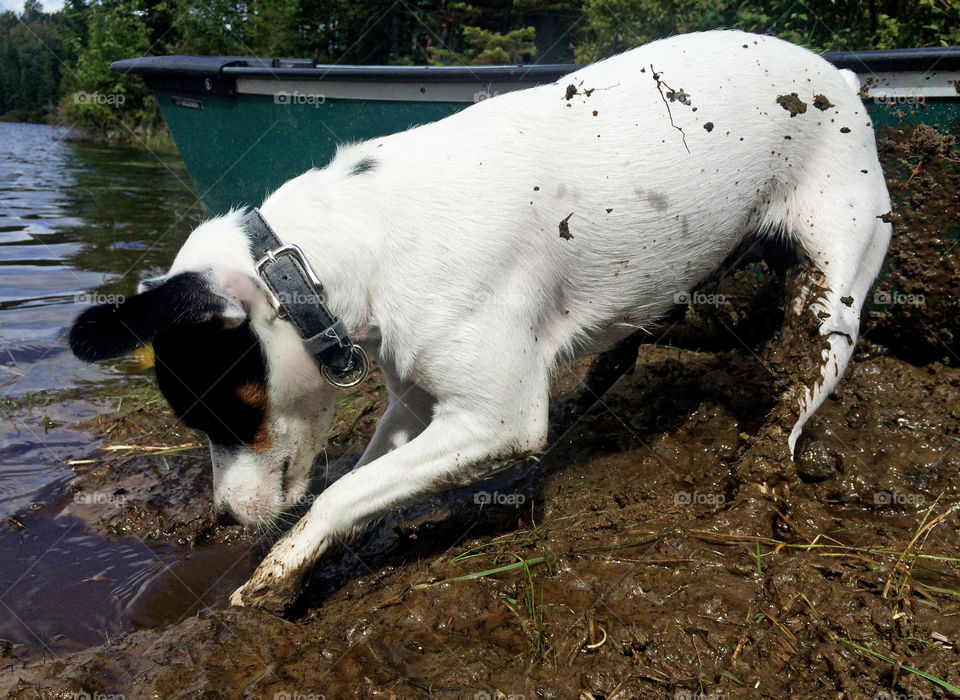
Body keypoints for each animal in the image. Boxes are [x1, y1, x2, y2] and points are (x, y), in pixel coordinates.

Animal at [69, 31, 892, 612]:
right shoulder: (415, 402)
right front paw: (304, 561)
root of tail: (840, 80)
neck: (347, 245)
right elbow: (359, 485)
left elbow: (336, 492)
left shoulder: (495, 420)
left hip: (837, 294)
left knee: (800, 390)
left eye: (220, 411)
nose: (225, 520)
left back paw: (761, 470)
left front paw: (274, 575)